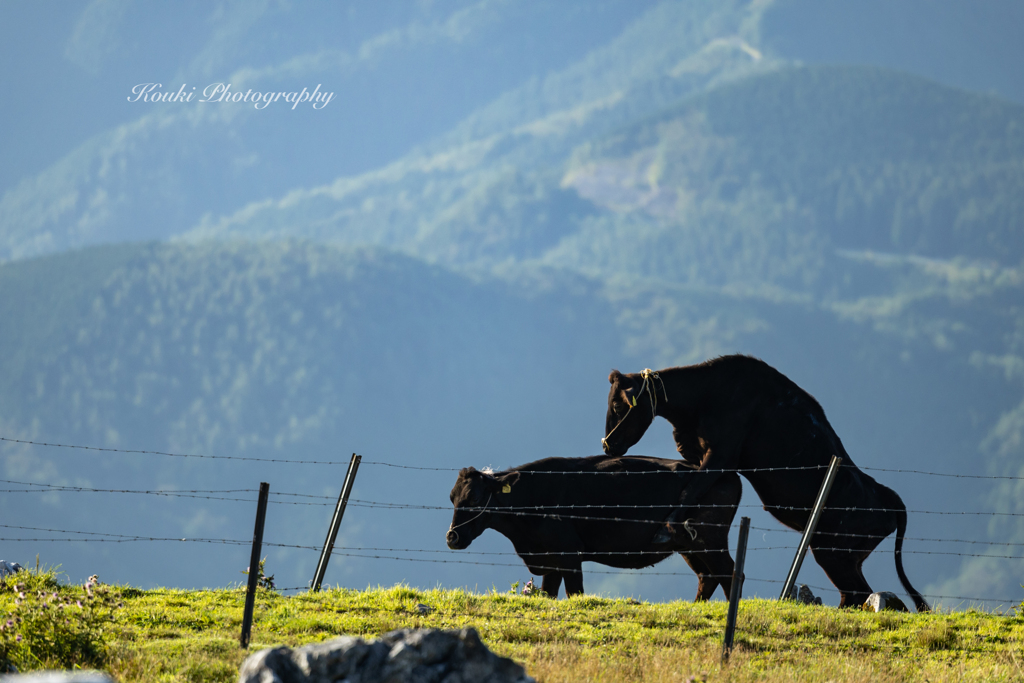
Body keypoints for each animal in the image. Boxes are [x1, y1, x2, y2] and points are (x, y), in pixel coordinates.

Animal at [444, 456, 741, 602]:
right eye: (452, 498)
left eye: (475, 498)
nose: (452, 537)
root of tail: (728, 473)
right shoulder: (550, 558)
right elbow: (549, 594)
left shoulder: (569, 552)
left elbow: (575, 592)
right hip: (688, 545)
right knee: (707, 577)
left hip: (710, 538)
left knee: (729, 573)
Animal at [602, 356, 933, 610]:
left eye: (618, 407)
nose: (607, 445)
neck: (705, 396)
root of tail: (888, 496)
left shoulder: (720, 454)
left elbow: (692, 488)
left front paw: (666, 528)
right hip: (840, 555)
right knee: (853, 595)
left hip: (834, 552)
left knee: (858, 594)